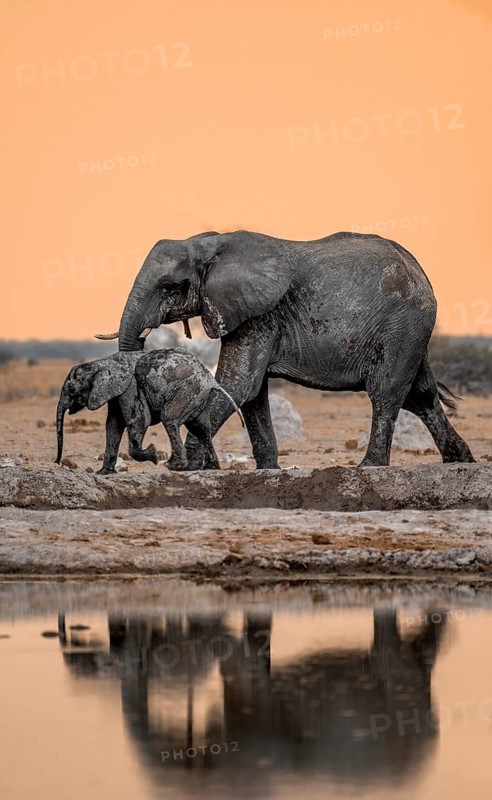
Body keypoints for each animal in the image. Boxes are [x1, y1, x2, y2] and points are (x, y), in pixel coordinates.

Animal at [55, 349, 243, 474]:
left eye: (72, 390)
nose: (56, 462)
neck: (100, 362)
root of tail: (211, 379)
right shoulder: (116, 392)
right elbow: (113, 425)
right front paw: (103, 473)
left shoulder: (130, 387)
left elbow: (139, 420)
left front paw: (154, 455)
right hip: (199, 396)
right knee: (202, 428)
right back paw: (212, 468)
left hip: (188, 390)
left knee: (170, 418)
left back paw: (173, 466)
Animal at [96, 230, 475, 469]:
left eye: (168, 287)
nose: (151, 455)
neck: (206, 243)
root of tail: (419, 270)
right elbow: (251, 393)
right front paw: (267, 469)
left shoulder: (259, 314)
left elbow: (238, 384)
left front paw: (191, 467)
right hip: (411, 333)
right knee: (421, 396)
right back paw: (460, 460)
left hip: (402, 327)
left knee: (386, 393)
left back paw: (369, 467)